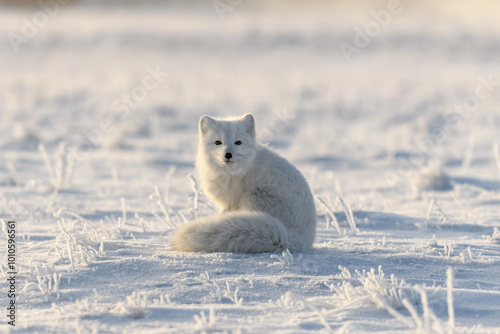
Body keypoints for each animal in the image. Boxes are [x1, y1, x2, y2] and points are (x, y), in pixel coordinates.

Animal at [171, 114, 316, 253]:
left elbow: (225, 212)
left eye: (238, 142)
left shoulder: (231, 201)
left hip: (254, 195)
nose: (228, 154)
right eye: (218, 142)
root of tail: (302, 238)